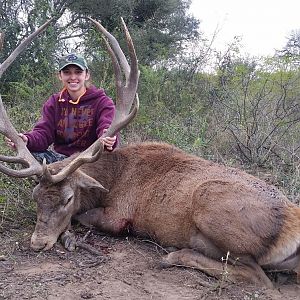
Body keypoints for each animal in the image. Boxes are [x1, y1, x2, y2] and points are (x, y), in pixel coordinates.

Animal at [0, 16, 300, 288]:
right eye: (35, 196)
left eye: (68, 198)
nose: (38, 242)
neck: (112, 178)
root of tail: (291, 229)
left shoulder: (119, 216)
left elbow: (84, 217)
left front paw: (69, 233)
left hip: (213, 205)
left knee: (258, 276)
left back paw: (173, 254)